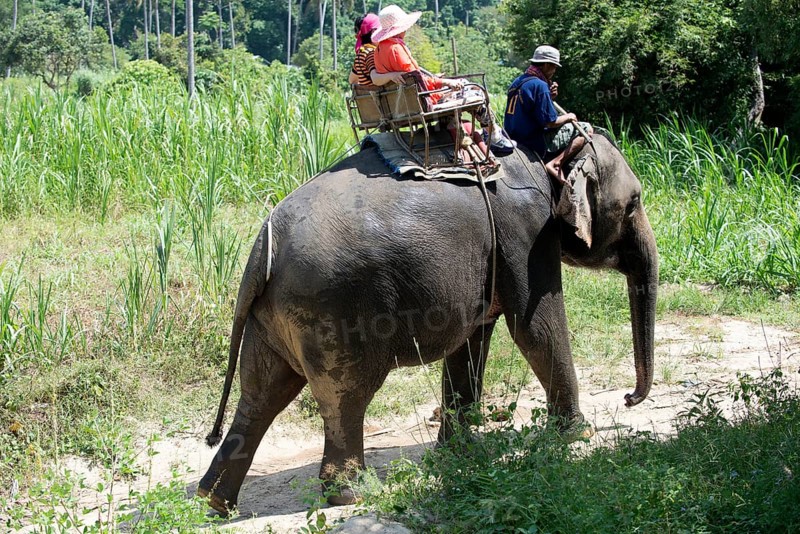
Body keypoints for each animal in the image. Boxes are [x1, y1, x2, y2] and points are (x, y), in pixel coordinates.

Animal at [197, 133, 658, 514]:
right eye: (634, 203)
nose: (628, 399)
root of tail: (263, 245)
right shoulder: (527, 233)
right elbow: (535, 328)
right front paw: (577, 437)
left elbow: (470, 344)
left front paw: (459, 456)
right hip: (334, 309)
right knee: (345, 396)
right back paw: (354, 494)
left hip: (272, 314)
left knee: (262, 392)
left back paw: (216, 500)